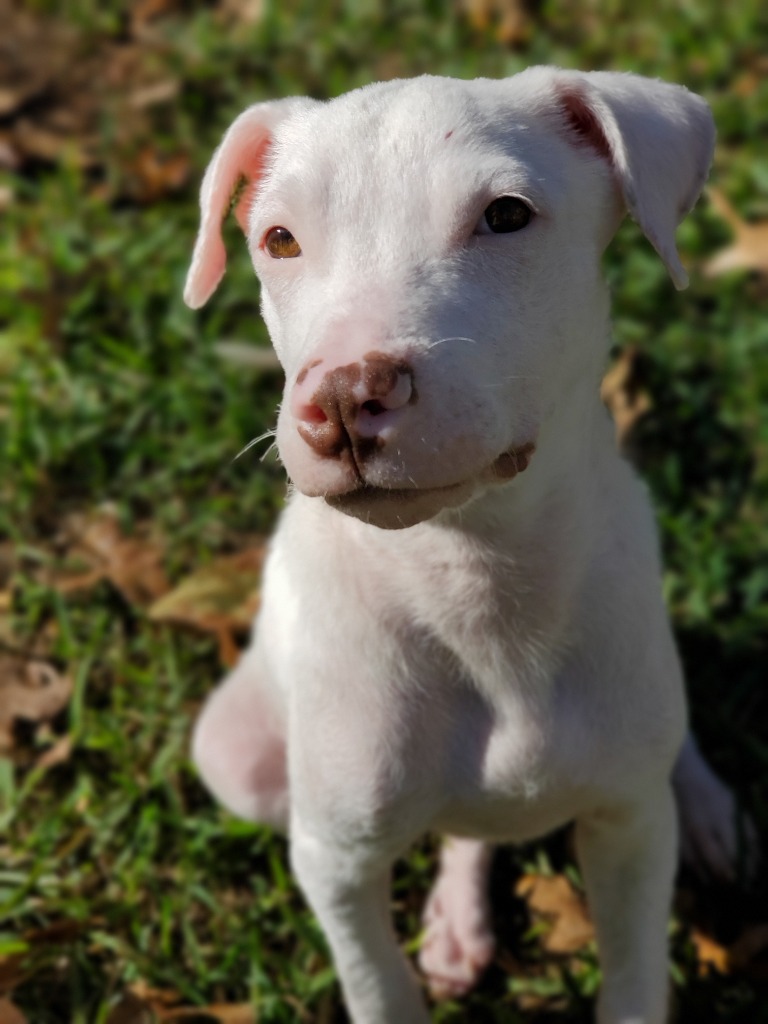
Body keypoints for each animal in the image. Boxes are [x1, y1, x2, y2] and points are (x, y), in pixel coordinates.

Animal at [183, 67, 748, 1023]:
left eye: (507, 216)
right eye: (278, 239)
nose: (345, 397)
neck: (470, 571)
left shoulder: (629, 830)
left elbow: (635, 977)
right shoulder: (335, 862)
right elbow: (379, 988)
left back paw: (706, 807)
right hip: (238, 757)